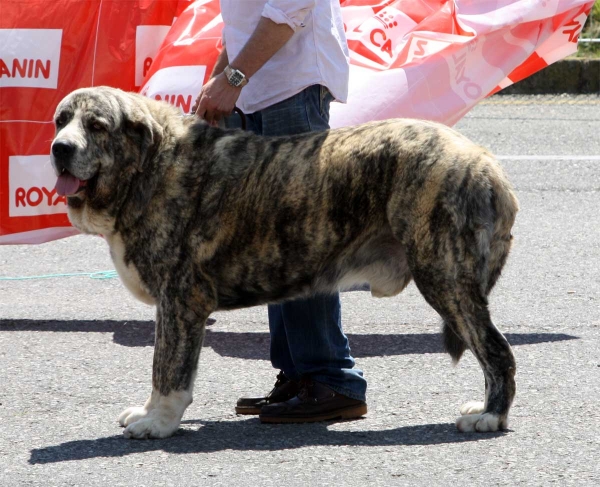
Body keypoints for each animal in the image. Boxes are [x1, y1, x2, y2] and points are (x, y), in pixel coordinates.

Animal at [50, 86, 520, 440]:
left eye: (97, 125)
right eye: (61, 120)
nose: (60, 149)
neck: (151, 165)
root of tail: (484, 159)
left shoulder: (180, 302)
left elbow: (167, 368)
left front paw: (159, 422)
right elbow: (162, 365)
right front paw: (150, 413)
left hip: (444, 278)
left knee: (496, 351)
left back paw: (490, 415)